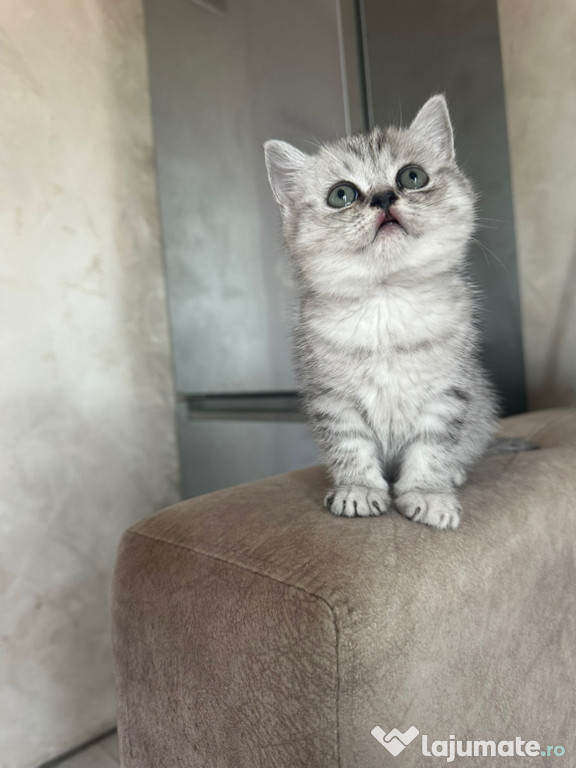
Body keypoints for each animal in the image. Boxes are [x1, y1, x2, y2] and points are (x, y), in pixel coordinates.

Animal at [264, 94, 532, 528]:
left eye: (411, 176)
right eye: (342, 194)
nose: (384, 197)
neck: (386, 302)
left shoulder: (448, 393)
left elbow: (432, 447)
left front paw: (428, 494)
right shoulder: (331, 397)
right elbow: (349, 445)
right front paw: (358, 490)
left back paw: (455, 473)